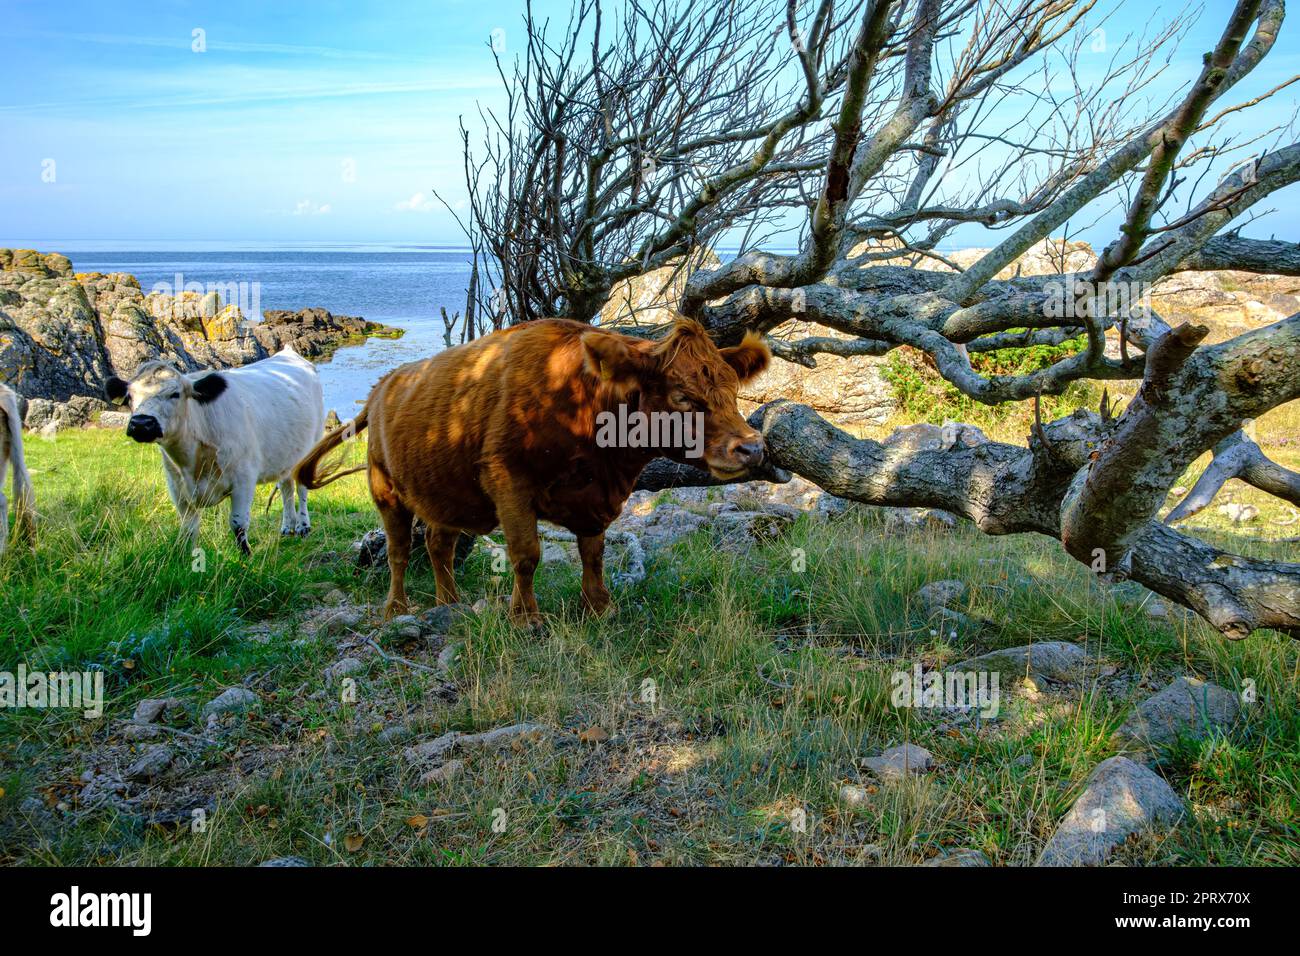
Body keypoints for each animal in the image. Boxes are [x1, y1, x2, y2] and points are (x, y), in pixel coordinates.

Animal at [108, 348, 327, 554]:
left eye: (175, 394)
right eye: (129, 396)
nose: (141, 423)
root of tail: (288, 352)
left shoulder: (243, 480)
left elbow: (238, 524)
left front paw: (246, 558)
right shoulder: (177, 487)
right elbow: (188, 529)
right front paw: (186, 558)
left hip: (311, 446)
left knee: (301, 488)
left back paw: (303, 526)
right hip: (286, 454)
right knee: (286, 486)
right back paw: (288, 526)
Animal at [299, 317, 764, 624]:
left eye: (731, 388)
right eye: (682, 396)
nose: (753, 447)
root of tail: (384, 386)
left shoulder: (594, 498)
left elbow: (593, 553)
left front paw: (598, 605)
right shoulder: (509, 481)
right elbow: (527, 554)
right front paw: (525, 616)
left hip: (445, 490)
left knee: (438, 545)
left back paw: (449, 602)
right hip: (386, 490)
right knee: (399, 551)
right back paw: (396, 608)